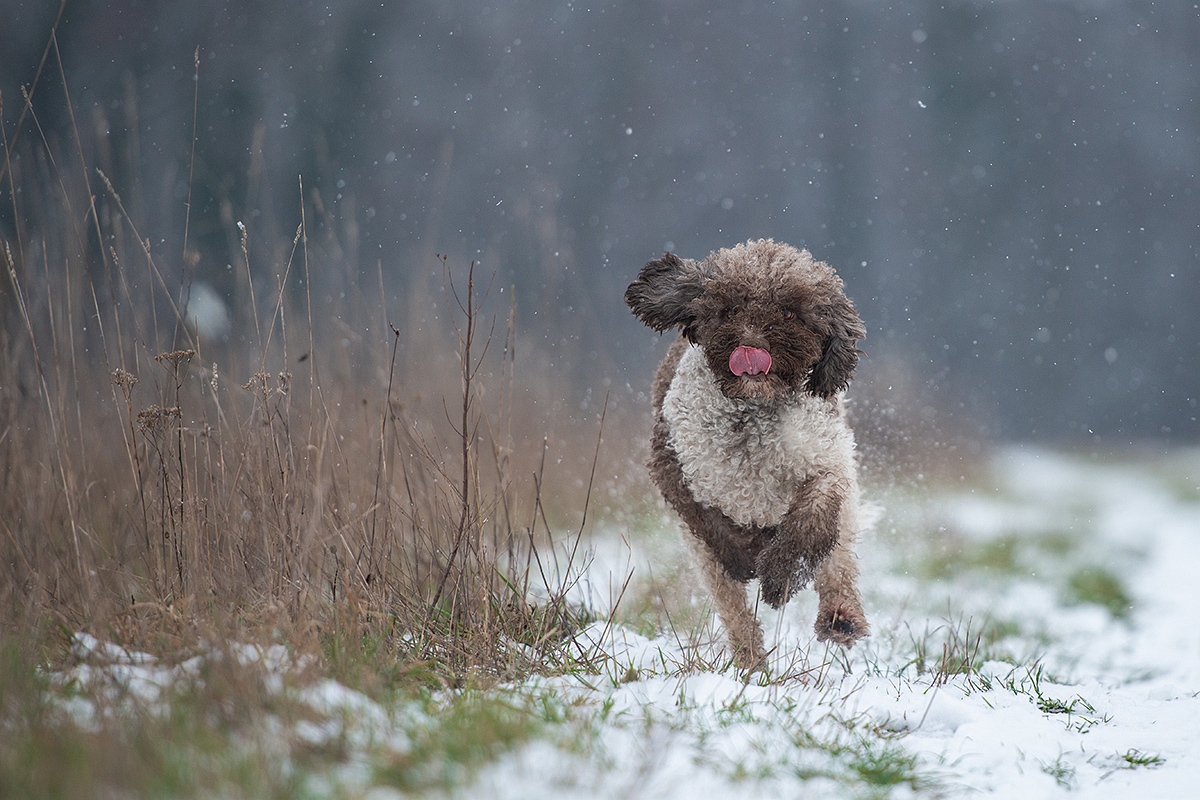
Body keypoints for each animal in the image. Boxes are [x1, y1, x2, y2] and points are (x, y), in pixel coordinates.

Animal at [624, 237, 868, 671]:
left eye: (789, 311)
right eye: (730, 310)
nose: (751, 347)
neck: (754, 416)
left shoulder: (827, 461)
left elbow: (816, 512)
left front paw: (781, 575)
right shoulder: (674, 464)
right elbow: (708, 521)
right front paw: (744, 556)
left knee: (837, 562)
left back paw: (840, 618)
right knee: (733, 606)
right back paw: (751, 660)